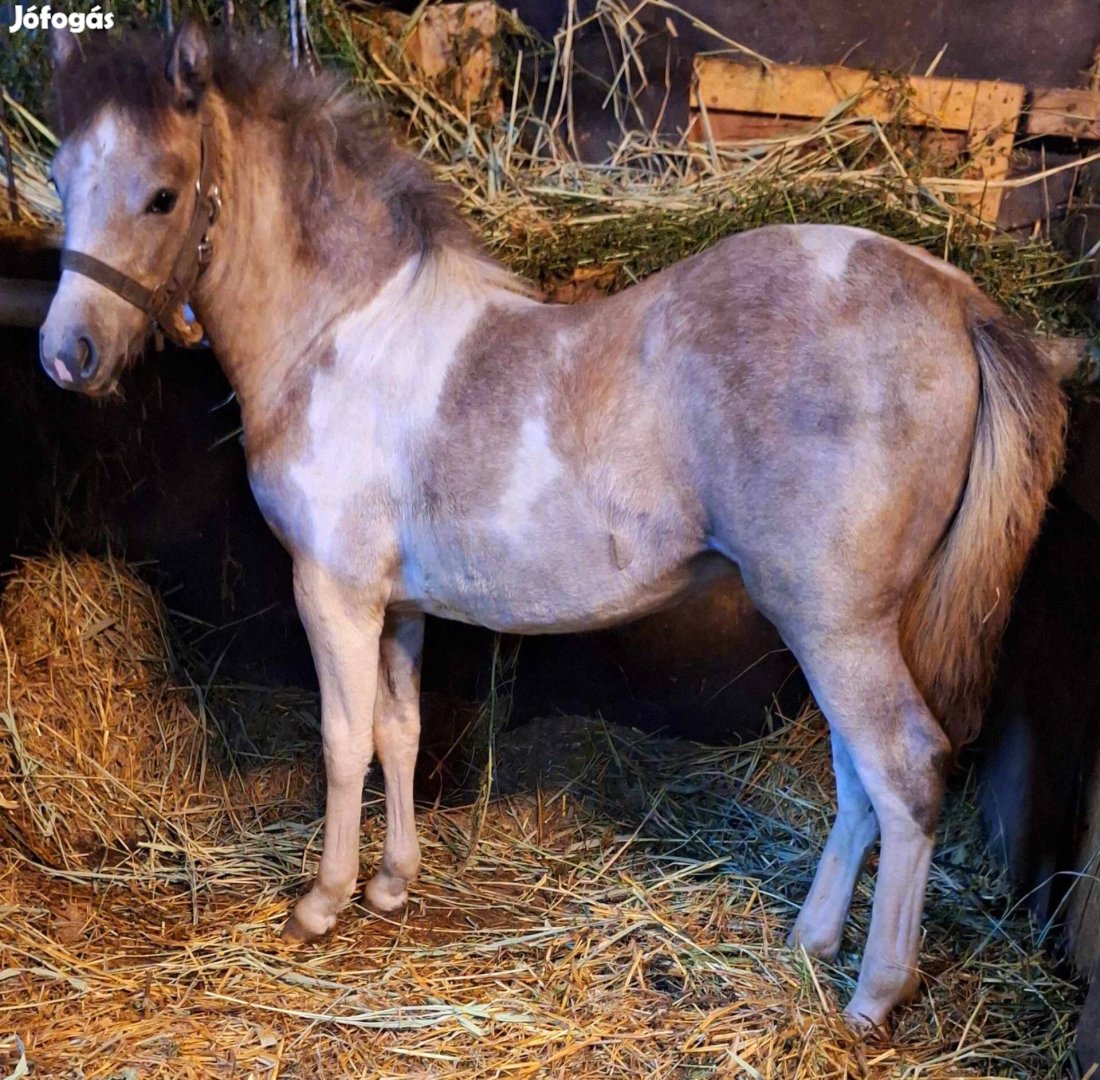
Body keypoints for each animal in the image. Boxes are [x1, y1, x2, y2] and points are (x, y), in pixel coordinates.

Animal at [40, 21, 1064, 1029]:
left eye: (163, 194)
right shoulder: (399, 606)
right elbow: (399, 730)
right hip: (843, 627)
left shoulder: (334, 591)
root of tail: (956, 299)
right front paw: (391, 887)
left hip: (835, 625)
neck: (339, 333)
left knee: (904, 770)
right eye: (58, 177)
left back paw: (872, 996)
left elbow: (342, 740)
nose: (66, 356)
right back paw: (810, 944)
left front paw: (321, 905)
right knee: (859, 780)